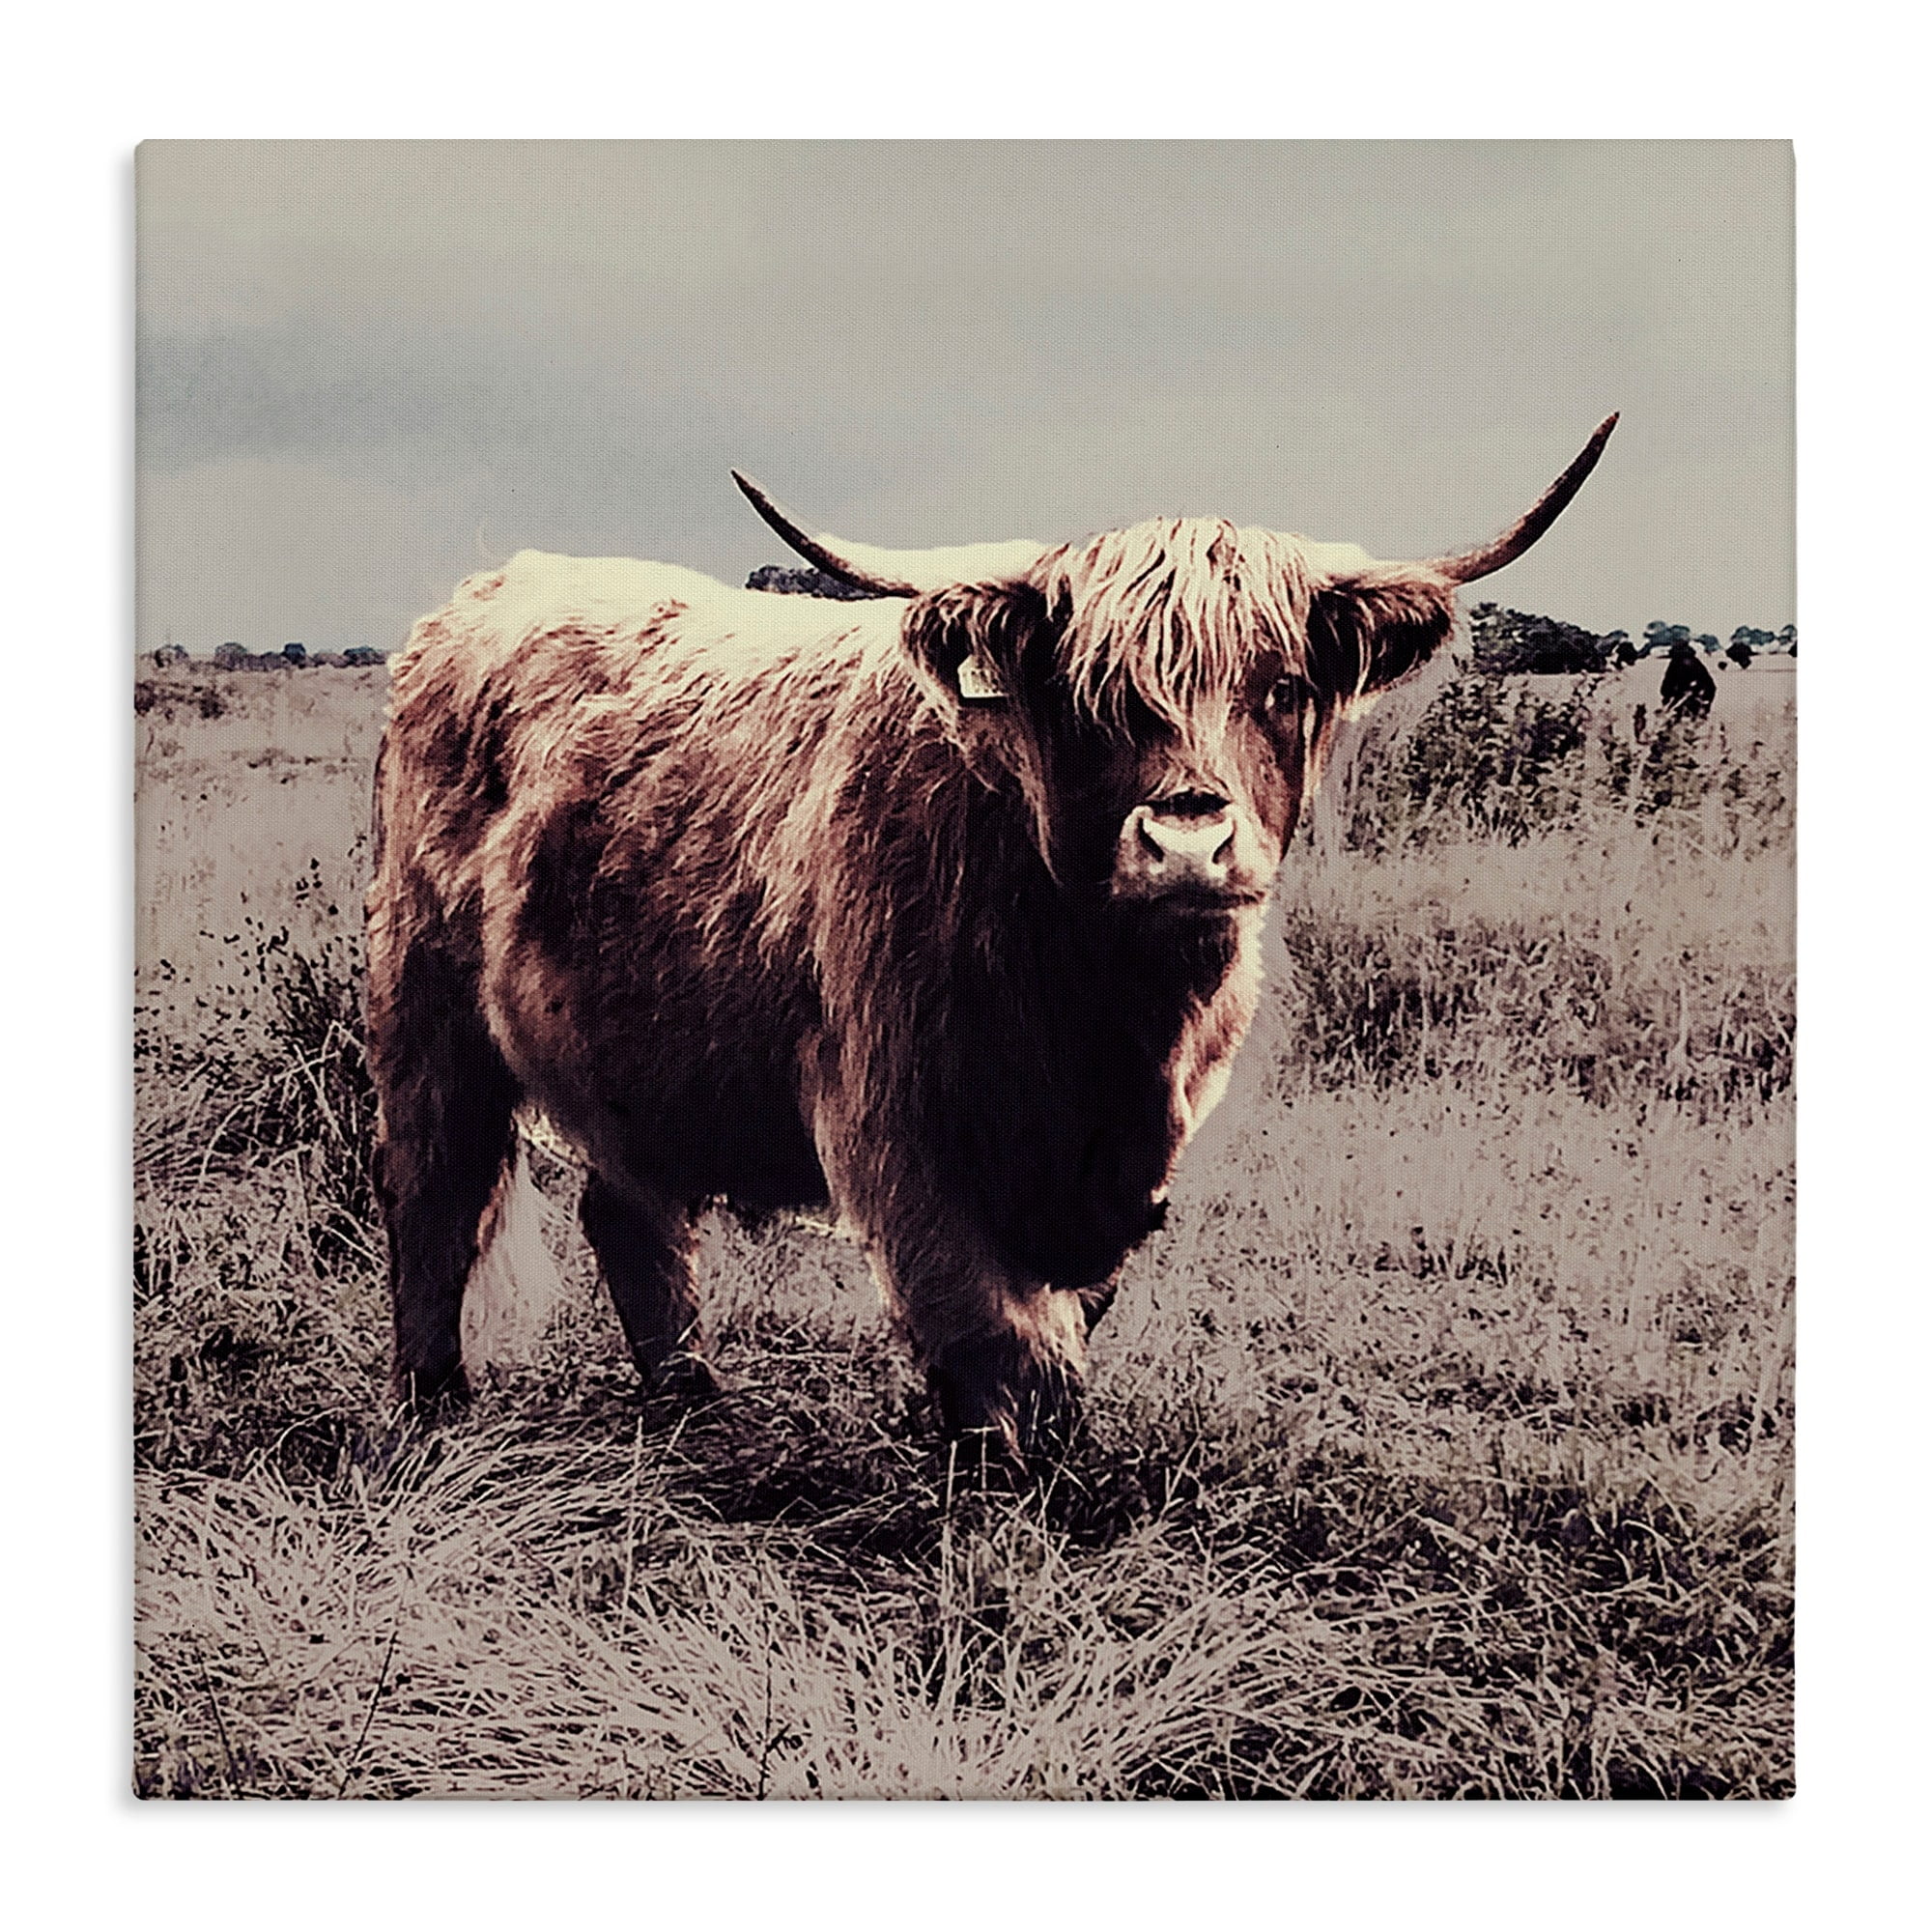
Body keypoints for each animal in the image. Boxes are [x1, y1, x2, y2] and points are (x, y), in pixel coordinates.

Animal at [366, 416, 1617, 1464]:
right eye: (1090, 697)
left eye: (1279, 686)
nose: (1185, 841)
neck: (1103, 1016)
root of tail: (486, 592)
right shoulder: (896, 1122)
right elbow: (992, 1332)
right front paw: (1001, 1482)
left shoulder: (1128, 1160)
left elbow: (1064, 1316)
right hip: (423, 1003)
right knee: (433, 1190)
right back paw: (434, 1405)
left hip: (632, 1048)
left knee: (627, 1208)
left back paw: (692, 1403)